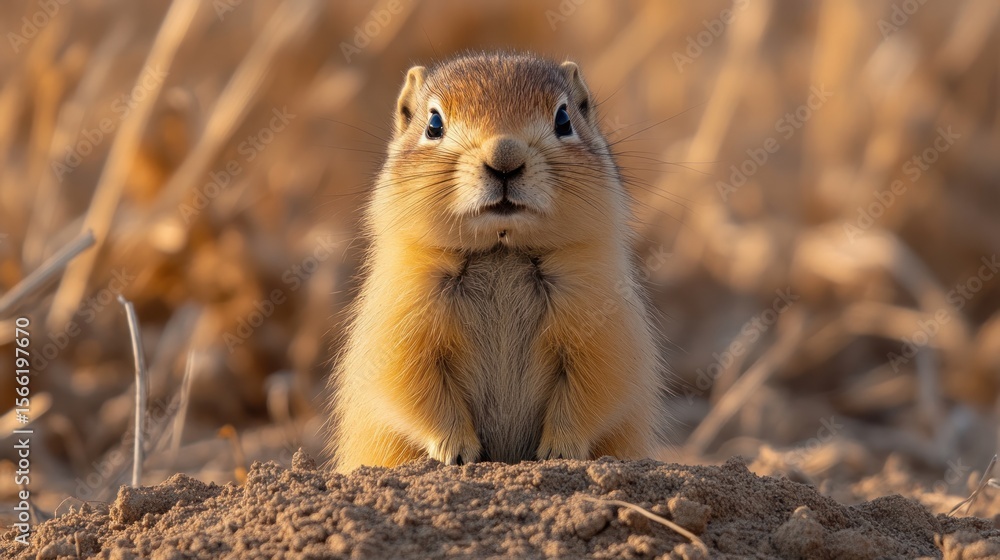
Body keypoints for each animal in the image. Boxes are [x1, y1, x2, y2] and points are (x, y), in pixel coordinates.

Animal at [328, 52, 663, 472]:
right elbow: (415, 389)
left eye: (564, 119)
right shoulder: (402, 320)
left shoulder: (603, 320)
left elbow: (592, 391)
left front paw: (559, 451)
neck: (501, 252)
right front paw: (456, 451)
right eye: (434, 124)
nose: (505, 157)